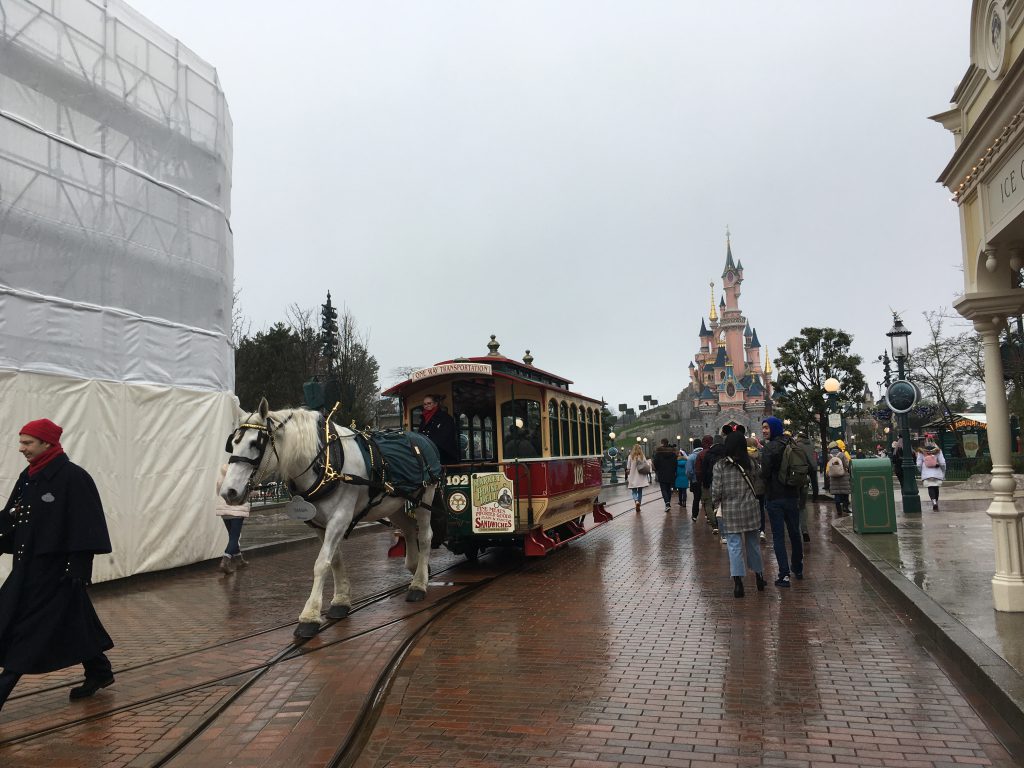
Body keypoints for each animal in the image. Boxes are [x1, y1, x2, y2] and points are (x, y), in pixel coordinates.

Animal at [220, 399, 436, 638]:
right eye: (232, 443)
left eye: (255, 444)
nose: (228, 492)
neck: (324, 462)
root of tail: (421, 438)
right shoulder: (320, 524)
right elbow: (335, 559)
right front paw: (340, 601)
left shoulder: (340, 518)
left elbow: (321, 563)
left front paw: (309, 616)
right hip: (393, 504)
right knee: (408, 528)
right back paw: (416, 568)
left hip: (425, 498)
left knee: (425, 535)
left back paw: (419, 584)